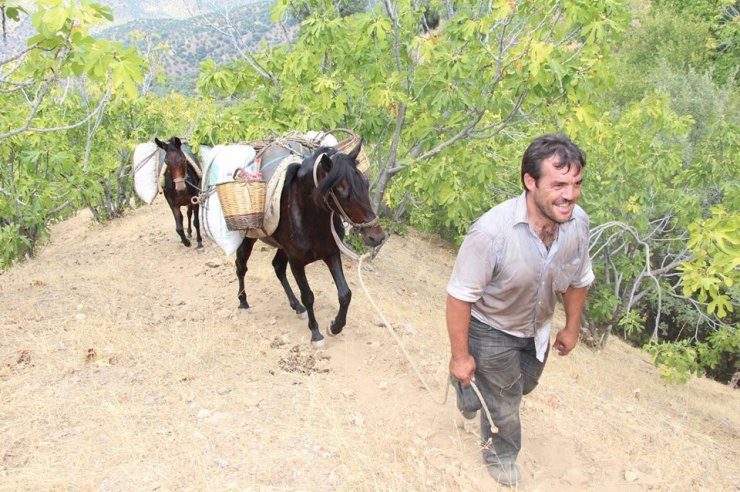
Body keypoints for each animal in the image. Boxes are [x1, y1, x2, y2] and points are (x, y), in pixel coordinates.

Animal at [237, 138, 388, 346]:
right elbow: (308, 296)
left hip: (283, 249)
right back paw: (243, 301)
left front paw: (335, 327)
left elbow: (345, 294)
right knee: (241, 266)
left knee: (277, 267)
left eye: (365, 183)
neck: (312, 218)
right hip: (248, 238)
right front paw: (316, 333)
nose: (377, 236)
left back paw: (296, 306)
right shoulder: (297, 262)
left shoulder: (331, 254)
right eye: (341, 190)